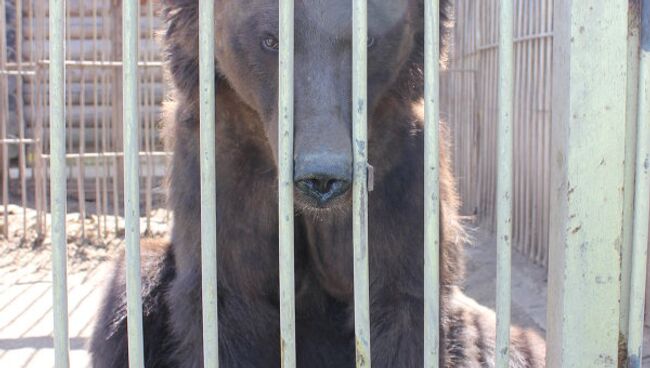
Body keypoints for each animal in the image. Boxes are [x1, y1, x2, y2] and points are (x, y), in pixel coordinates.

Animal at [88, 0, 544, 366]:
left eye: (367, 40)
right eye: (270, 41)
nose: (322, 177)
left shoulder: (399, 171)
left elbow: (400, 303)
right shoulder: (224, 172)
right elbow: (230, 302)